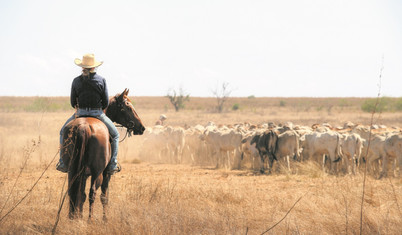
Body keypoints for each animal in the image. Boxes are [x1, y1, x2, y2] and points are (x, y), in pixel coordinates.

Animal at [60, 88, 145, 220]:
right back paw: (90, 219)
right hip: (97, 172)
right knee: (93, 192)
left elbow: (81, 194)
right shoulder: (106, 174)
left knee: (74, 191)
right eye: (128, 107)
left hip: (72, 169)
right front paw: (105, 219)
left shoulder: (83, 174)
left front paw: (79, 216)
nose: (141, 128)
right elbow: (104, 196)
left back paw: (74, 217)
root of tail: (84, 127)